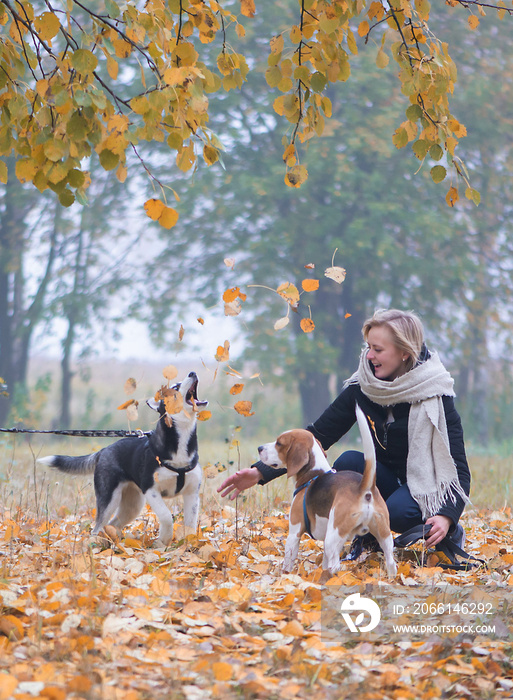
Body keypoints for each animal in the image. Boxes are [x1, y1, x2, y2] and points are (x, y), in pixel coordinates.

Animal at [38, 372, 208, 548]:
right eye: (175, 387)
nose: (193, 373)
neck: (180, 442)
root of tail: (104, 450)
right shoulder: (151, 490)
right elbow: (167, 516)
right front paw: (164, 540)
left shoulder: (192, 493)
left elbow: (190, 524)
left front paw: (188, 544)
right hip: (110, 499)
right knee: (98, 526)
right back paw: (97, 544)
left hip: (132, 505)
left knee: (113, 524)